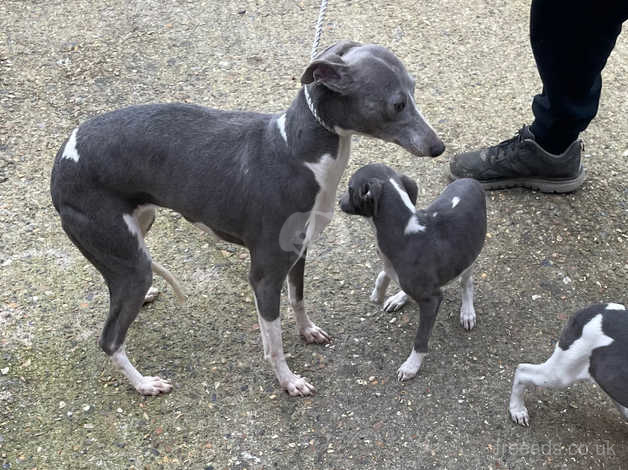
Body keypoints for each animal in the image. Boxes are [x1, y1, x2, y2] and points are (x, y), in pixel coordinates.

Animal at [340, 165, 488, 382]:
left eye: (350, 188)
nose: (338, 201)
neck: (404, 231)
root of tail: (470, 180)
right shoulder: (391, 264)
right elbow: (384, 273)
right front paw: (378, 294)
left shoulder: (432, 300)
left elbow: (421, 339)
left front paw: (411, 366)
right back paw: (398, 298)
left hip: (469, 253)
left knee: (466, 282)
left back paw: (467, 311)